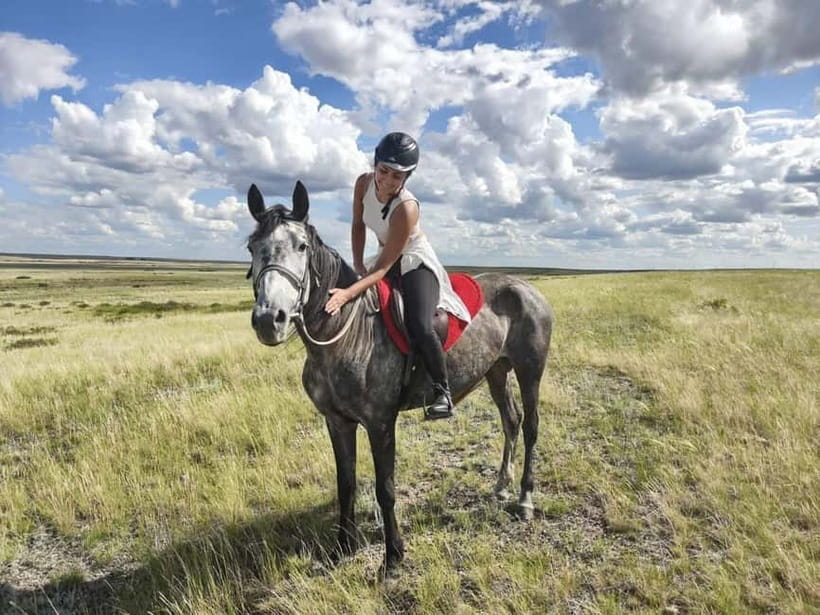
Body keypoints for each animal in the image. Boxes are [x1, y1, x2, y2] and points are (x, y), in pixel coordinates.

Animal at [246, 181, 553, 575]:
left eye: (301, 246)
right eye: (252, 247)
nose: (270, 320)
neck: (348, 335)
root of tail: (526, 288)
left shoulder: (380, 422)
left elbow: (385, 487)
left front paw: (393, 557)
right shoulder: (337, 421)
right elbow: (345, 484)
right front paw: (342, 547)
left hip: (530, 370)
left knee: (530, 426)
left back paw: (525, 499)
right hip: (496, 370)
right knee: (510, 420)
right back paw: (501, 486)